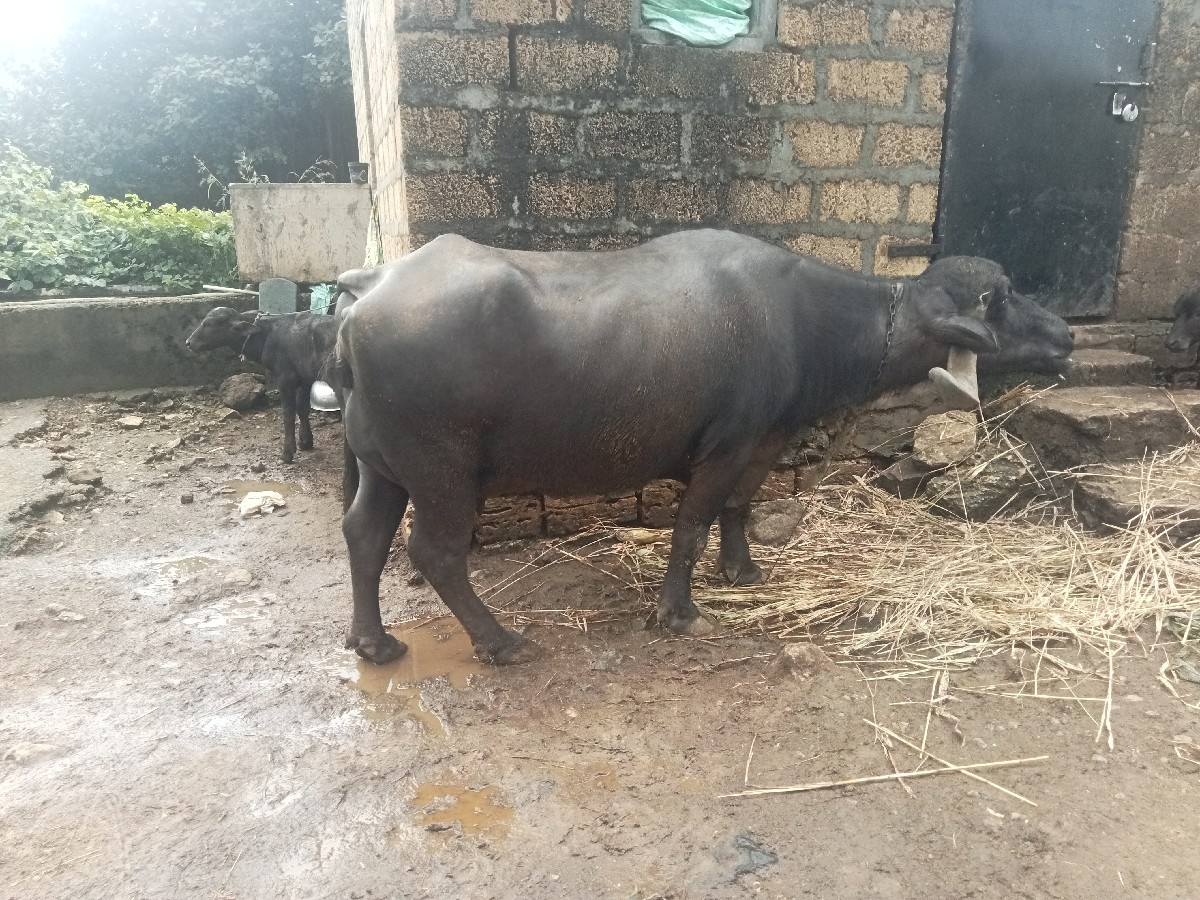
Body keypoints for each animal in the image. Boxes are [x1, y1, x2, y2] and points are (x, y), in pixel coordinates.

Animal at [186, 308, 338, 464]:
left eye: (209, 324)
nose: (188, 342)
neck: (267, 335)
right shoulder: (304, 379)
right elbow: (302, 408)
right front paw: (305, 441)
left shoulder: (285, 378)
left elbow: (288, 414)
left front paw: (287, 453)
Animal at [334, 230, 1074, 667]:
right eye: (1001, 298)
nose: (1067, 334)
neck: (804, 321)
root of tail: (365, 292)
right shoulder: (725, 444)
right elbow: (691, 523)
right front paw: (679, 611)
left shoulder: (765, 438)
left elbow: (738, 508)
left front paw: (742, 570)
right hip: (442, 474)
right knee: (434, 553)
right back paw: (499, 641)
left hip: (381, 467)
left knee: (363, 534)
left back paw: (373, 642)